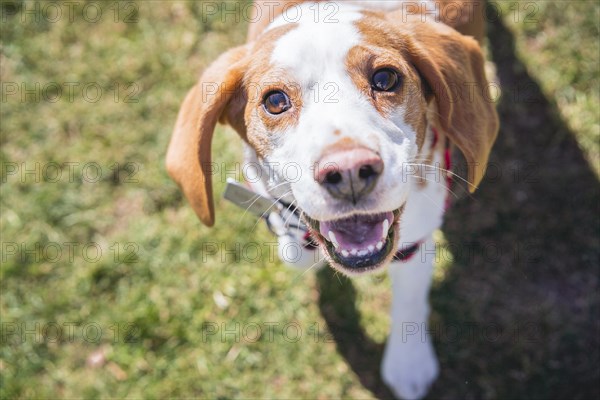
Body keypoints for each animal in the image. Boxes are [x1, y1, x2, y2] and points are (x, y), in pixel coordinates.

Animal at [166, 1, 500, 398]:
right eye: (274, 101)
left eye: (385, 79)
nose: (350, 172)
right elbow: (296, 247)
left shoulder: (415, 238)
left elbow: (409, 303)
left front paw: (409, 363)